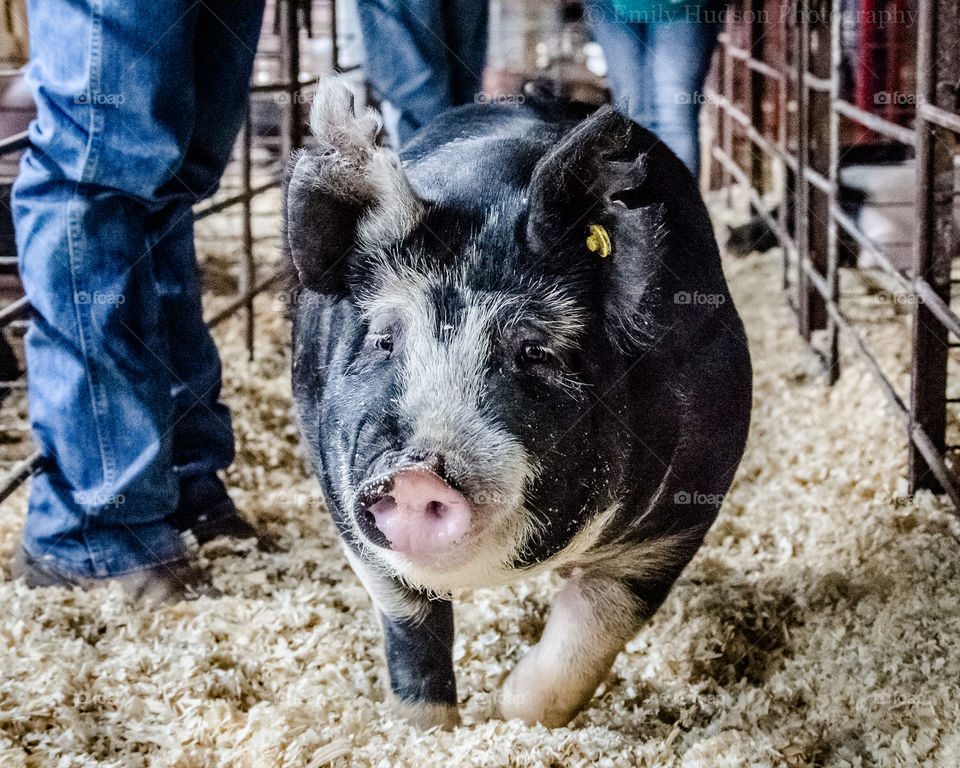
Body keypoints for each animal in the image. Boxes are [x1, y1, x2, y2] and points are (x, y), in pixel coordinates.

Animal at [284, 78, 752, 729]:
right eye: (383, 339)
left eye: (534, 350)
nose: (416, 474)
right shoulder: (344, 503)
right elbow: (411, 626)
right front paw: (425, 730)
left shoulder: (679, 517)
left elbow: (595, 624)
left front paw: (514, 715)